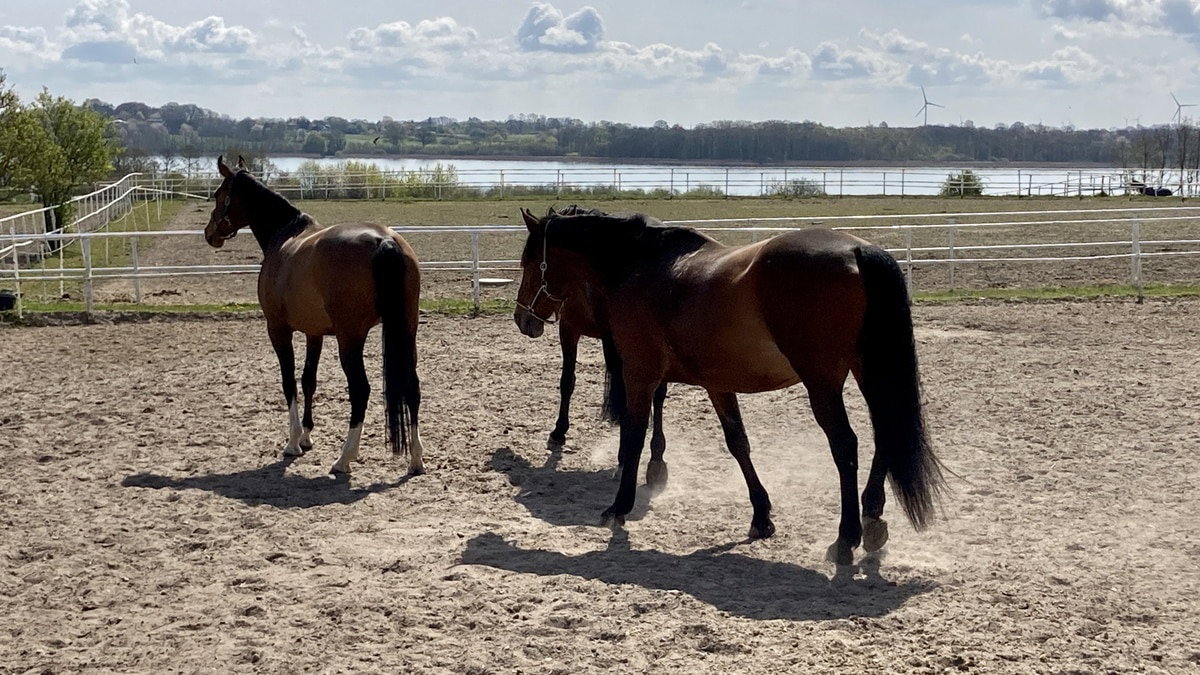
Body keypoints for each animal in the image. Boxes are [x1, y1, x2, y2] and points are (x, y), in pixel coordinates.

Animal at [204, 155, 426, 476]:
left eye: (219, 195)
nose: (210, 233)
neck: (285, 235)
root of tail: (384, 241)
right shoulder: (314, 332)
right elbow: (309, 379)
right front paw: (307, 435)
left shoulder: (278, 329)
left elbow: (288, 382)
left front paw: (293, 441)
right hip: (407, 330)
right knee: (412, 386)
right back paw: (416, 458)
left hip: (350, 339)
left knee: (360, 390)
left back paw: (344, 458)